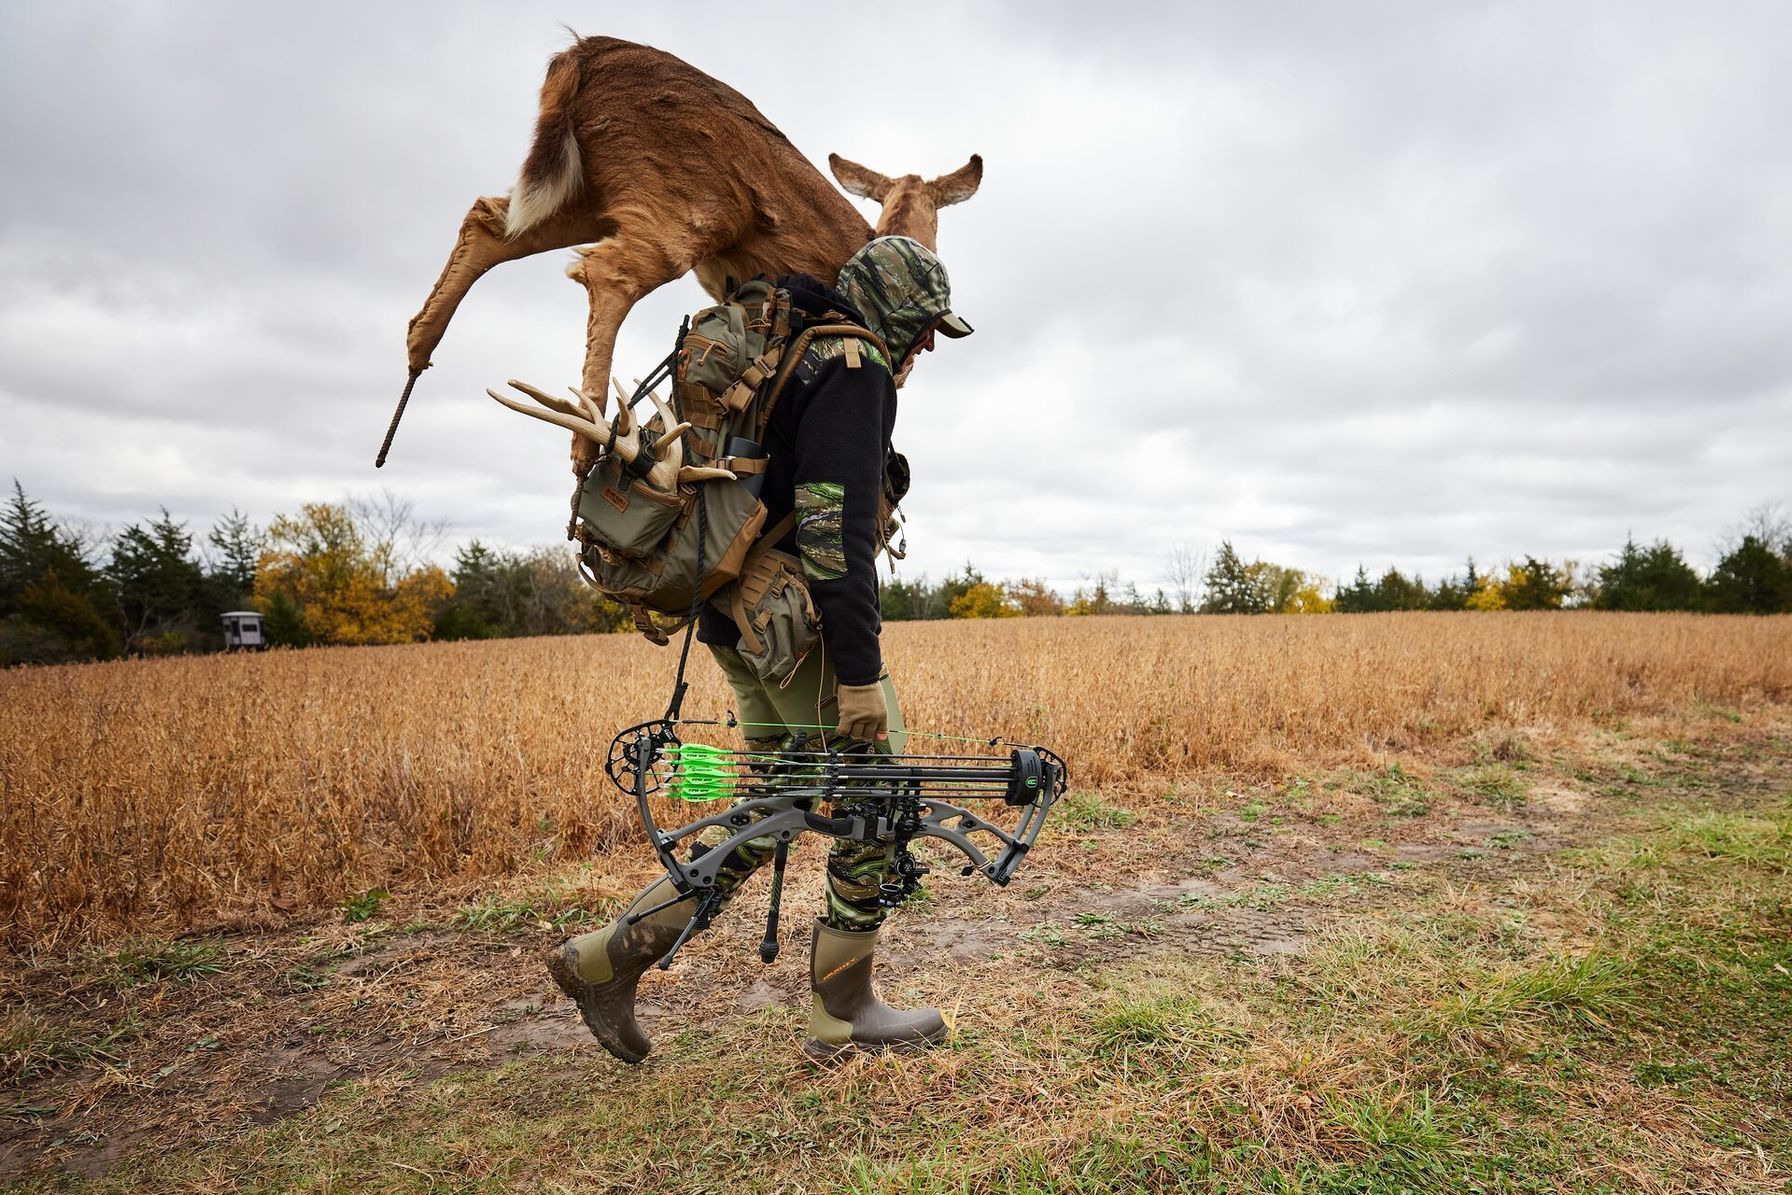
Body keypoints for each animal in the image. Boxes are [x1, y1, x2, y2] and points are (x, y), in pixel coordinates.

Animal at [379, 35, 982, 473]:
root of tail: (581, 54)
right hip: (686, 200)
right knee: (606, 271)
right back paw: (587, 444)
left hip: (592, 190)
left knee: (490, 219)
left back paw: (417, 350)